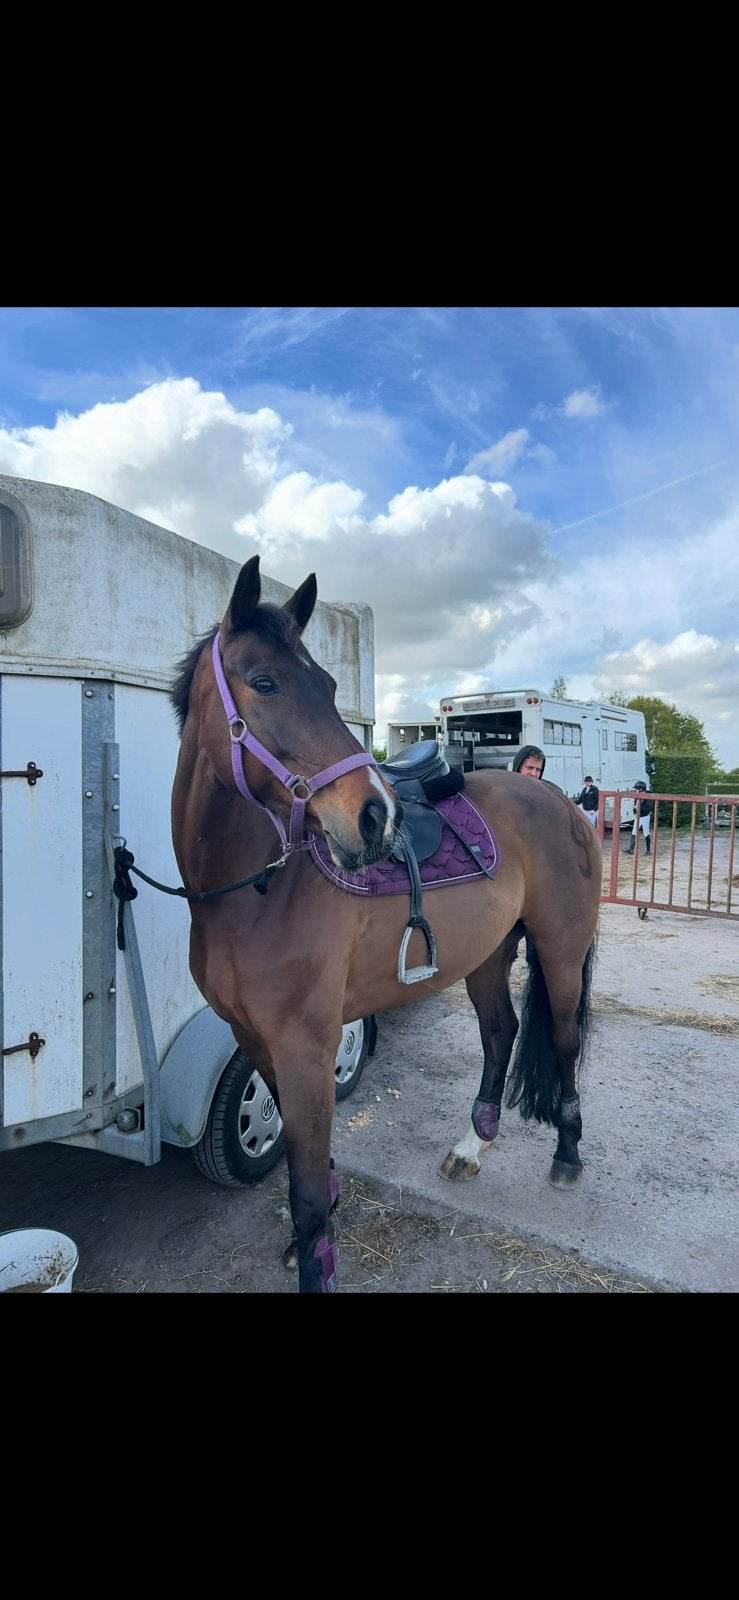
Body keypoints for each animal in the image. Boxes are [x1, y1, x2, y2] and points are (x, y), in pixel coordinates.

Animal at [170, 555, 602, 1293]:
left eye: (327, 684)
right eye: (264, 681)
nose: (376, 817)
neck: (254, 893)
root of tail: (559, 799)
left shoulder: (306, 1049)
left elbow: (305, 1190)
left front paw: (316, 1257)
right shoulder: (256, 1041)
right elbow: (301, 1162)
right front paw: (311, 1244)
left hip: (560, 949)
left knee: (565, 1040)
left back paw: (568, 1155)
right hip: (486, 954)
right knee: (501, 1031)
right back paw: (472, 1145)